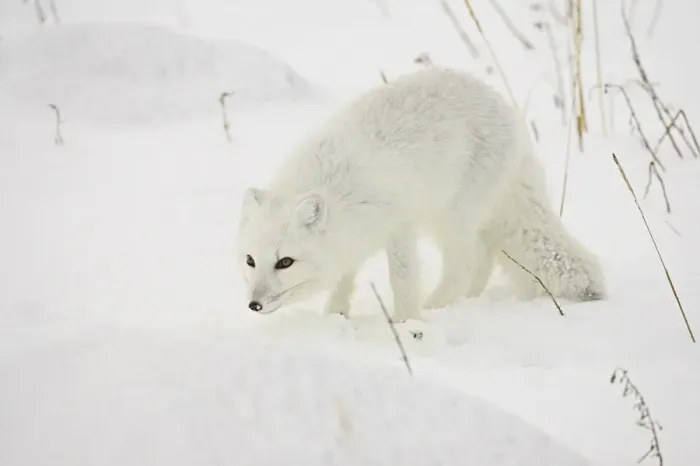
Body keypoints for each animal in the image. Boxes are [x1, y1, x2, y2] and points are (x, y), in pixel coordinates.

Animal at [236, 67, 605, 321]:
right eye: (250, 260)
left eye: (285, 262)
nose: (254, 305)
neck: (334, 184)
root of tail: (509, 112)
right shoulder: (353, 237)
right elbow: (344, 280)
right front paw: (333, 318)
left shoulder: (399, 227)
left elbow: (402, 279)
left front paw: (407, 323)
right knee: (482, 256)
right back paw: (468, 301)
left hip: (450, 216)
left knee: (465, 262)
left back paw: (438, 309)